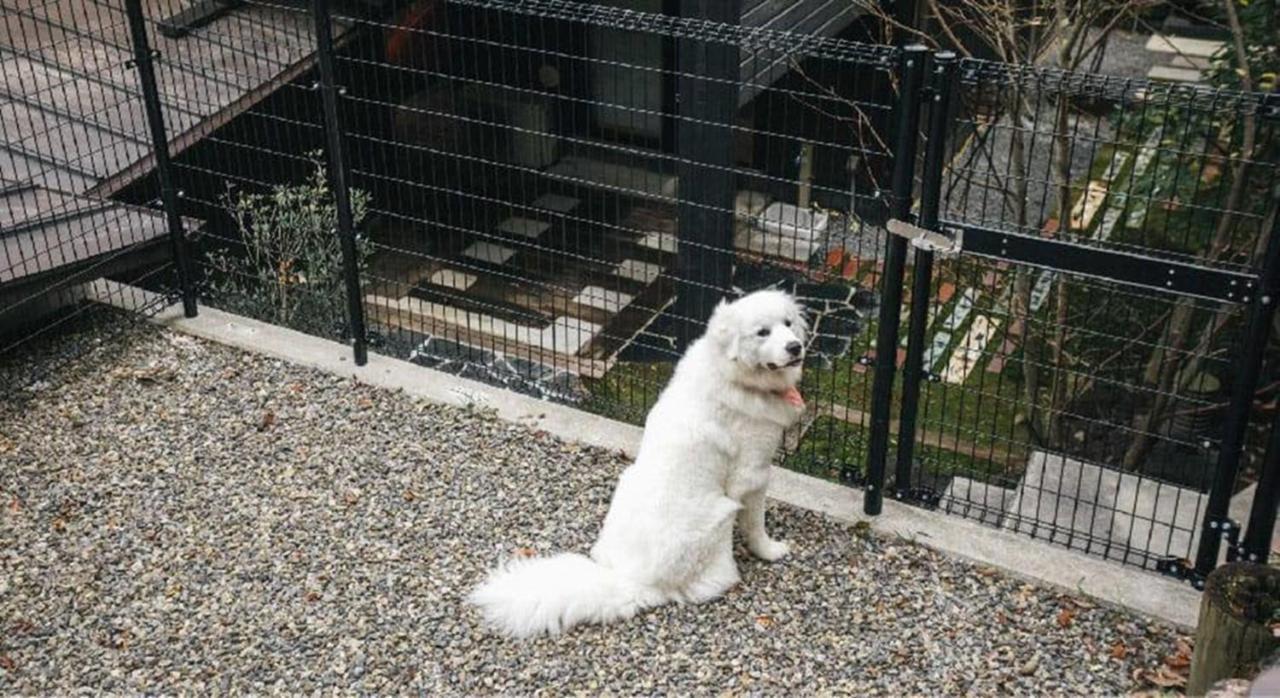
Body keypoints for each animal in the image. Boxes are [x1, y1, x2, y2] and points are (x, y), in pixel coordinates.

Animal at [476, 286, 803, 637]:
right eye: (762, 332)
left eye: (788, 324)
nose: (795, 346)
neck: (733, 374)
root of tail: (634, 580)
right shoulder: (752, 474)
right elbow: (756, 525)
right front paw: (771, 551)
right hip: (719, 513)